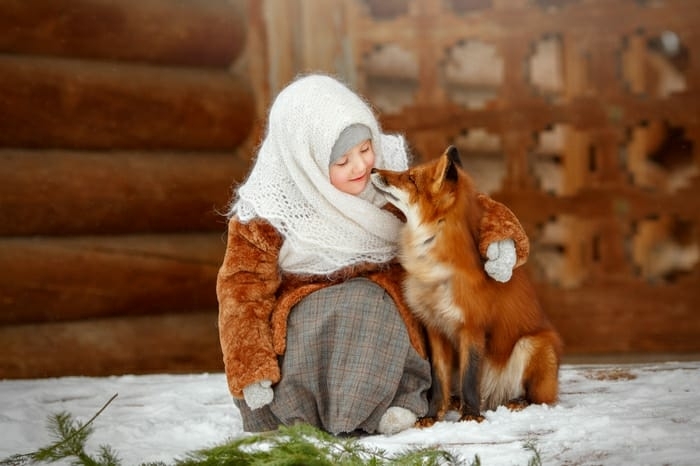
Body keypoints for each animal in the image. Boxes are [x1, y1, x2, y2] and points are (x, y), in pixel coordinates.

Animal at [370, 145, 563, 423]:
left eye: (410, 178)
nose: (373, 169)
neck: (435, 272)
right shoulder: (435, 328)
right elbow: (438, 381)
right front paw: (432, 416)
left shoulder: (472, 327)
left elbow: (470, 378)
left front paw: (471, 416)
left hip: (533, 345)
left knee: (541, 398)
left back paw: (517, 402)